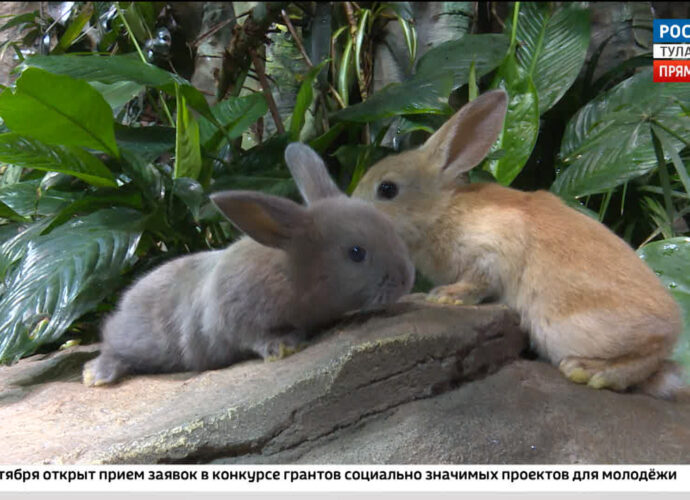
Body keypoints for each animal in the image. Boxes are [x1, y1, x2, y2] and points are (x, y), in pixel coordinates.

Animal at [82, 143, 414, 386]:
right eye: (356, 252)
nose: (406, 279)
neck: (294, 274)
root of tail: (125, 302)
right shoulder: (232, 318)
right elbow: (254, 337)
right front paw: (283, 346)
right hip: (140, 340)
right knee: (110, 342)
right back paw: (97, 375)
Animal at [352, 89, 685, 399]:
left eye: (387, 189)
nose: (354, 212)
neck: (441, 210)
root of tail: (673, 326)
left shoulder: (491, 251)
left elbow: (477, 281)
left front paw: (446, 296)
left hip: (568, 329)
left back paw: (591, 372)